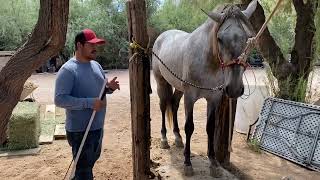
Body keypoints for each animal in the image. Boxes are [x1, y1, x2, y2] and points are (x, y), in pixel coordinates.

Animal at [151, 0, 258, 177]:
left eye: (248, 38)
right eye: (219, 38)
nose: (234, 89)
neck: (208, 62)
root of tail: (162, 36)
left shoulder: (213, 98)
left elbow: (210, 127)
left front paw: (213, 163)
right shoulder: (190, 97)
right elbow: (189, 127)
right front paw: (187, 163)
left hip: (179, 88)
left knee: (173, 104)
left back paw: (177, 138)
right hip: (162, 83)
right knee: (163, 106)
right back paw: (164, 139)